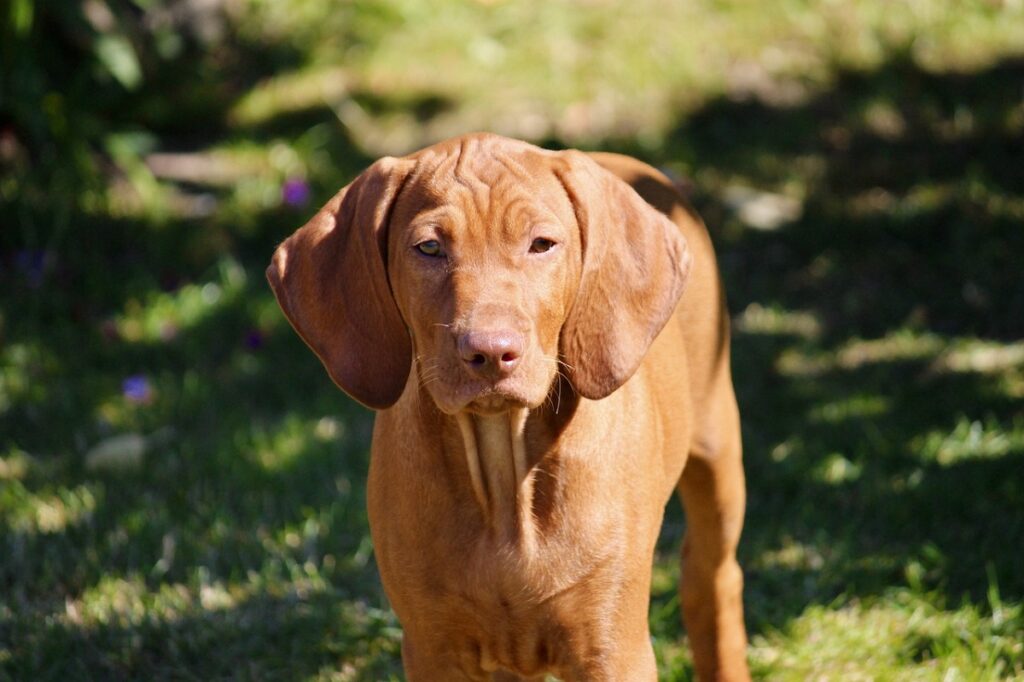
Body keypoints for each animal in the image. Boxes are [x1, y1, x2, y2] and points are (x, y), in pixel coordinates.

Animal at [270, 130, 753, 675]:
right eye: (429, 247)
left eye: (541, 245)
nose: (490, 352)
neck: (502, 472)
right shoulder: (434, 648)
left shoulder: (611, 649)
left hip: (717, 446)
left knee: (712, 577)